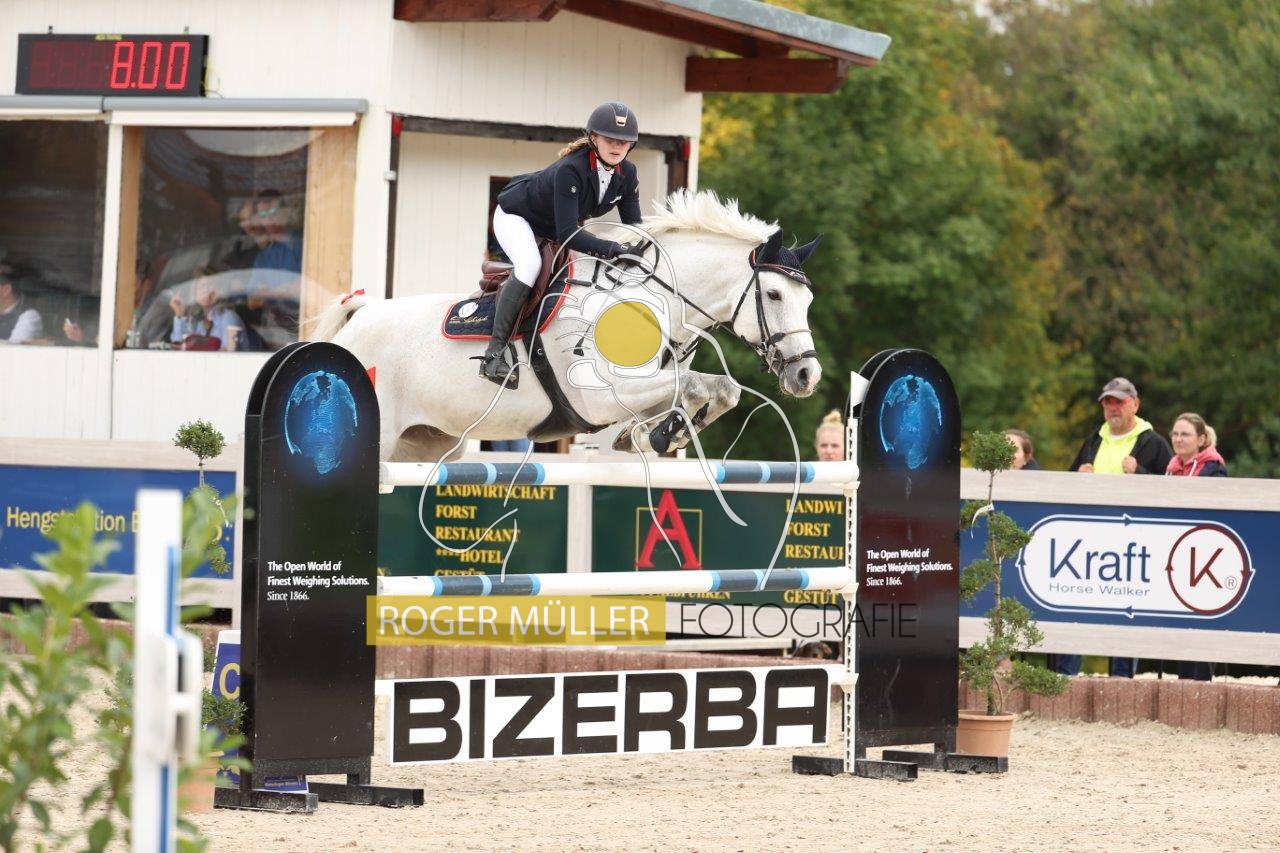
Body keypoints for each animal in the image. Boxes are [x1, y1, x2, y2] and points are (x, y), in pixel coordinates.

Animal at [313, 189, 823, 462]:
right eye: (774, 295)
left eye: (808, 300)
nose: (807, 375)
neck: (649, 299)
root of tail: (358, 321)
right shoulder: (599, 397)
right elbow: (697, 384)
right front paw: (659, 434)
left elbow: (719, 389)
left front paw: (656, 434)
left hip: (426, 444)